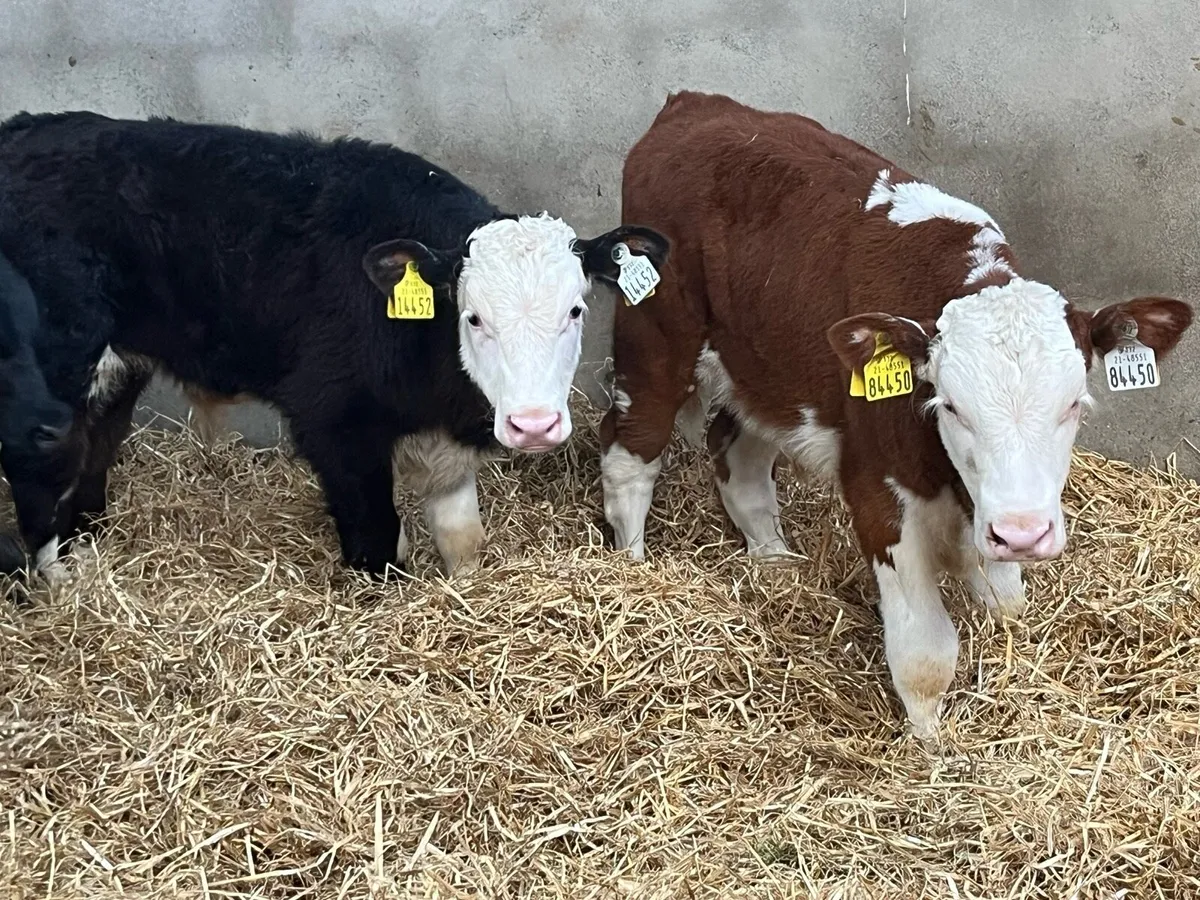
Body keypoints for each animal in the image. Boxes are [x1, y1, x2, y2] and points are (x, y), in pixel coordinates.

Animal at [0, 110, 669, 579]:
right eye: (474, 318)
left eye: (575, 309)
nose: (533, 425)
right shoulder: (334, 425)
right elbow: (377, 544)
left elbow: (463, 542)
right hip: (55, 370)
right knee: (41, 462)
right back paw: (60, 580)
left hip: (117, 367)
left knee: (95, 449)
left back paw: (90, 546)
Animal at [601, 91, 1193, 738]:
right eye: (950, 404)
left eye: (1073, 404)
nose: (1022, 533)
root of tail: (694, 105)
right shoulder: (879, 493)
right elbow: (925, 654)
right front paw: (931, 743)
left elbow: (1006, 600)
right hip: (656, 335)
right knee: (630, 449)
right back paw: (632, 568)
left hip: (766, 363)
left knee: (740, 452)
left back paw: (774, 562)